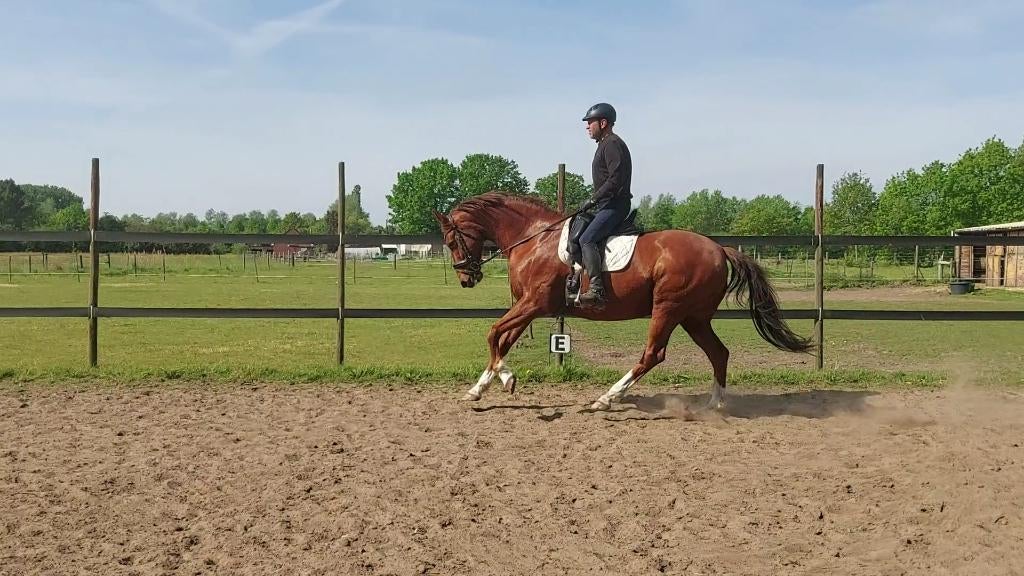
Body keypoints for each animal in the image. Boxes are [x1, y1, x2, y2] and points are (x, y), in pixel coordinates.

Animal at [432, 192, 813, 411]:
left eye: (451, 240)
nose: (467, 278)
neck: (534, 238)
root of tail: (719, 248)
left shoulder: (535, 303)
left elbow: (493, 333)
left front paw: (505, 378)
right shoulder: (528, 305)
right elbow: (503, 339)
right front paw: (481, 388)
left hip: (669, 309)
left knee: (653, 355)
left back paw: (607, 398)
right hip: (694, 317)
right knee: (718, 353)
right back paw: (714, 404)